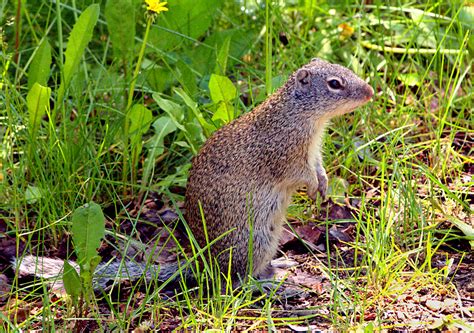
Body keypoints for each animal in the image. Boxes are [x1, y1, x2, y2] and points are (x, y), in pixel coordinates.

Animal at [12, 57, 372, 290]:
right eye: (335, 84)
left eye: (345, 71)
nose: (370, 92)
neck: (299, 113)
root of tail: (201, 263)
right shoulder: (285, 152)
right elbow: (299, 174)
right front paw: (314, 188)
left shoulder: (313, 151)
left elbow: (319, 167)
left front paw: (324, 183)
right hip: (252, 239)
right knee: (234, 282)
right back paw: (267, 286)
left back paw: (279, 268)